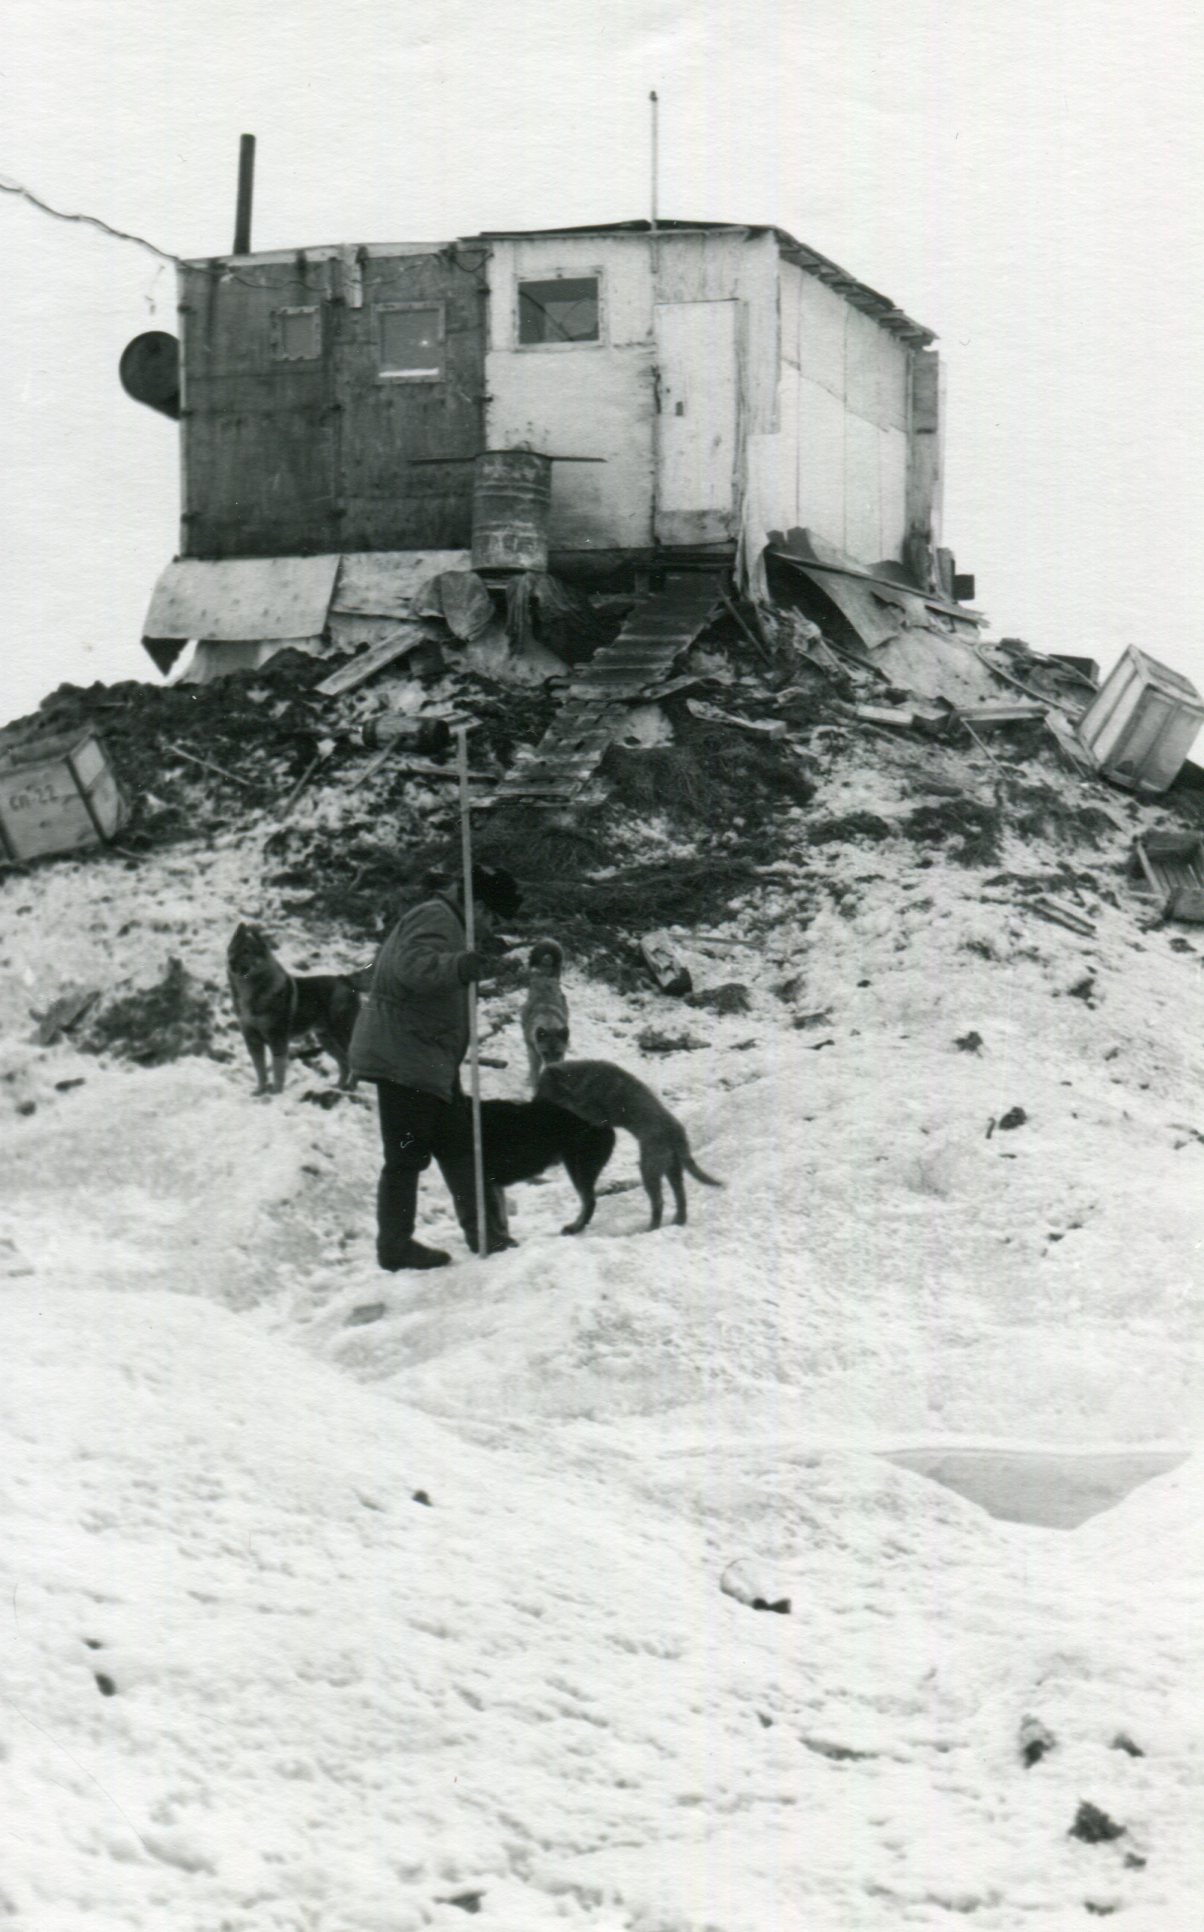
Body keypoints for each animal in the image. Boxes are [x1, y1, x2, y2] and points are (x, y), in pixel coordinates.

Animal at [227, 922, 361, 1095]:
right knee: (344, 1063)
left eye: (246, 951)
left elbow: (277, 1070)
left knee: (352, 1063)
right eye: (232, 950)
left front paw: (276, 1092)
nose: (230, 962)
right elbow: (260, 1071)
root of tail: (346, 980)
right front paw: (260, 1090)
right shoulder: (253, 1041)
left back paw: (351, 1087)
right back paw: (338, 1086)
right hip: (326, 1039)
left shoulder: (277, 1040)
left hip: (341, 1035)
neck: (252, 991)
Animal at [476, 1097, 615, 1235]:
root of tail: (606, 1124)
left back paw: (574, 1228)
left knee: (589, 1201)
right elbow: (502, 1218)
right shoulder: (493, 1184)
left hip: (578, 1167)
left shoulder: (486, 1183)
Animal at [521, 938, 571, 1088]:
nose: (552, 1070)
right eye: (545, 1053)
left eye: (558, 1053)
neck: (549, 1022)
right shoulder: (535, 1055)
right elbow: (534, 1075)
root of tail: (547, 978)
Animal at [536, 1059, 723, 1231]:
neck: (582, 1076)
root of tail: (675, 1132)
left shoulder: (595, 1115)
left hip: (649, 1169)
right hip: (673, 1170)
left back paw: (652, 1228)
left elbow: (577, 1106)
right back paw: (678, 1221)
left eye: (542, 1090)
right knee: (680, 1197)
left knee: (659, 1201)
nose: (534, 1102)